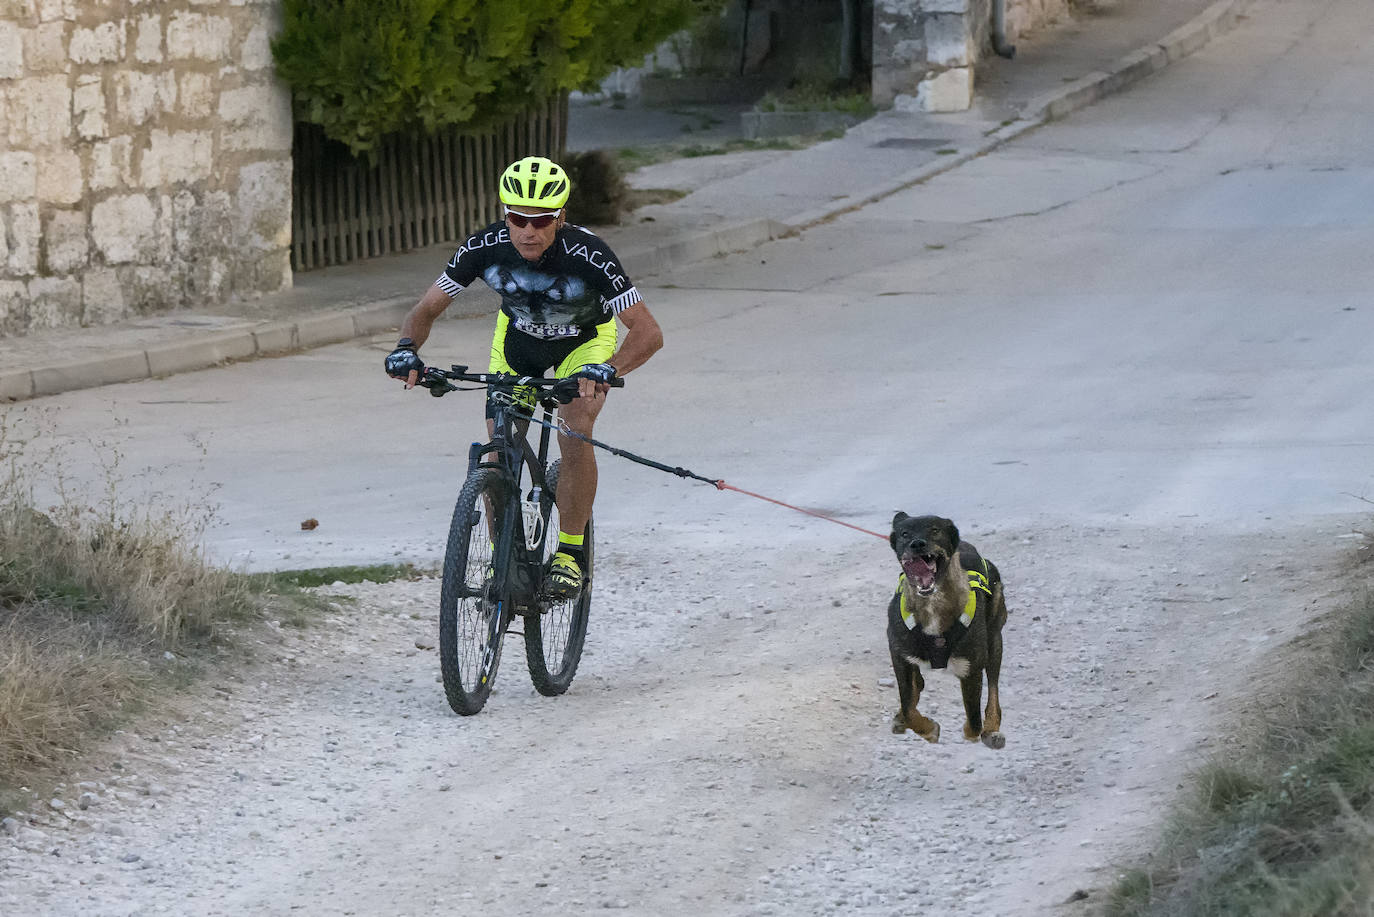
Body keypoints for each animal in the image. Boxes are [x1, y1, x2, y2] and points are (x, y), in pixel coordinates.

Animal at [884, 514, 1005, 747]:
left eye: (934, 530)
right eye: (905, 533)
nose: (917, 544)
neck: (933, 604)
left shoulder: (971, 667)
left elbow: (974, 722)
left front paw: (970, 731)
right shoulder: (899, 654)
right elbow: (908, 705)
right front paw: (927, 728)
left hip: (995, 640)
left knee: (993, 688)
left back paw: (992, 729)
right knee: (916, 687)